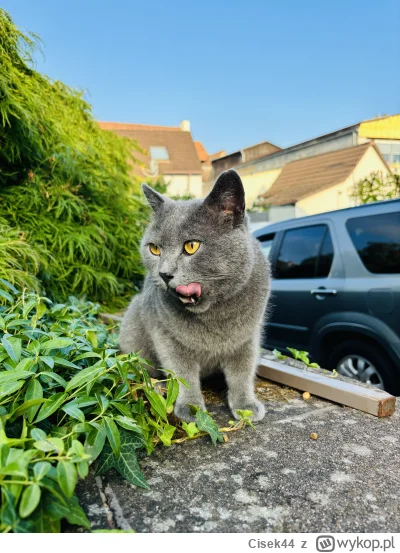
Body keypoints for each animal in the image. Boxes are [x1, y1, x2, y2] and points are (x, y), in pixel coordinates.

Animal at [117, 170, 270, 420]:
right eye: (154, 249)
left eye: (191, 246)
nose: (164, 274)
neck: (213, 315)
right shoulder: (165, 335)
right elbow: (182, 373)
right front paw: (191, 407)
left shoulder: (247, 337)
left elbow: (242, 371)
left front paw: (245, 405)